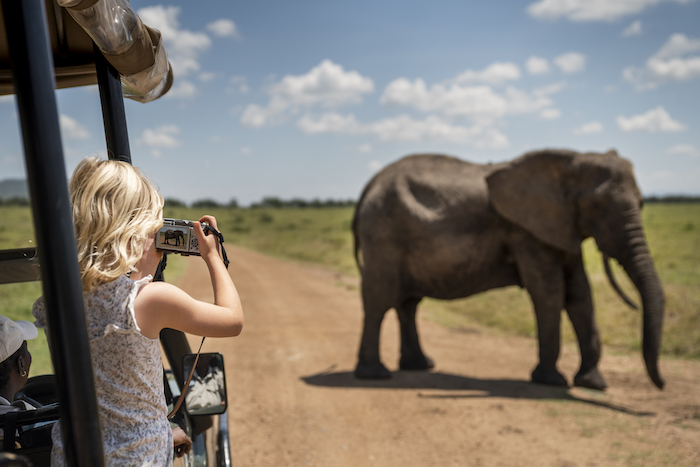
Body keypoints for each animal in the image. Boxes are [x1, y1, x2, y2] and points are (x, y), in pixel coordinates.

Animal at [352, 149, 665, 390]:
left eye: (641, 203)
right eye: (597, 206)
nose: (660, 383)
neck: (569, 159)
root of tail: (368, 187)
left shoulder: (561, 228)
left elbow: (580, 295)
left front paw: (593, 384)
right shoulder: (526, 233)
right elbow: (550, 292)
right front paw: (550, 381)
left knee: (408, 303)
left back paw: (419, 366)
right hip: (383, 235)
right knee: (379, 300)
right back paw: (375, 375)